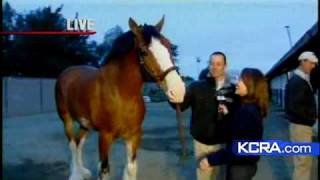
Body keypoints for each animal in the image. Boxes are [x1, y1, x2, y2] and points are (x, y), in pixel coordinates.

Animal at [55, 16, 185, 179]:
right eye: (143, 51)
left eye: (169, 46)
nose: (178, 91)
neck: (121, 93)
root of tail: (67, 72)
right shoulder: (105, 137)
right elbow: (104, 170)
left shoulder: (134, 135)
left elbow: (130, 168)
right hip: (66, 119)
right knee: (72, 144)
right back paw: (75, 174)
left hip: (85, 123)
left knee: (79, 142)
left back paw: (82, 171)